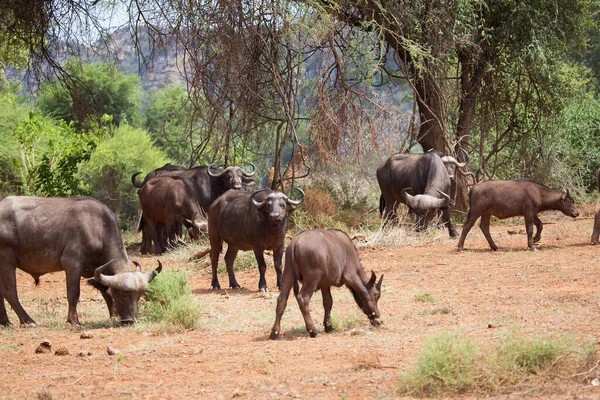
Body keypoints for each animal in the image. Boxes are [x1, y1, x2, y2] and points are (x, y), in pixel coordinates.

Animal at [0, 195, 162, 326]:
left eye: (139, 296)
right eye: (124, 294)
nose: (130, 320)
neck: (99, 228)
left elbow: (106, 291)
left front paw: (113, 314)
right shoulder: (72, 264)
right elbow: (73, 293)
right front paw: (73, 320)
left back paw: (6, 322)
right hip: (7, 260)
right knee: (10, 291)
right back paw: (28, 321)